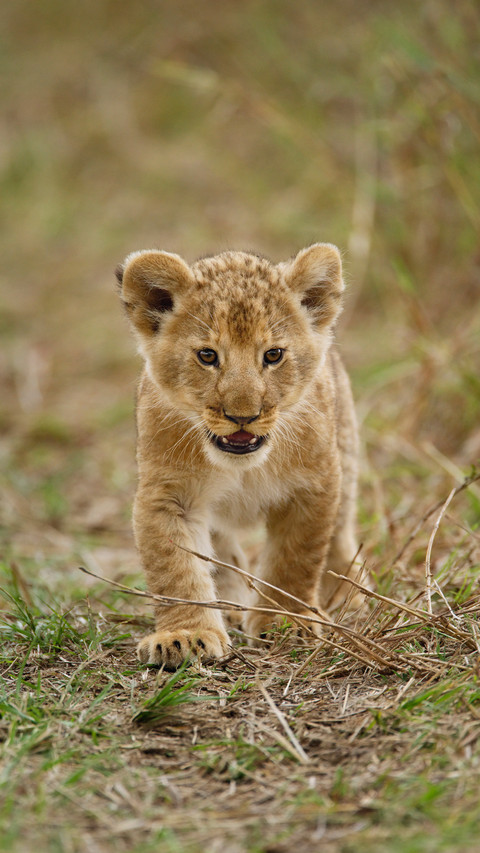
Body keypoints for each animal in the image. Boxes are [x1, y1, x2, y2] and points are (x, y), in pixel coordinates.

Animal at [115, 244, 360, 669]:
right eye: (207, 355)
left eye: (274, 355)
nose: (243, 416)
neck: (243, 467)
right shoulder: (167, 494)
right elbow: (175, 567)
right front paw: (186, 635)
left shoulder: (314, 486)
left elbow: (296, 560)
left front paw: (285, 621)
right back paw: (229, 606)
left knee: (342, 537)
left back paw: (351, 598)